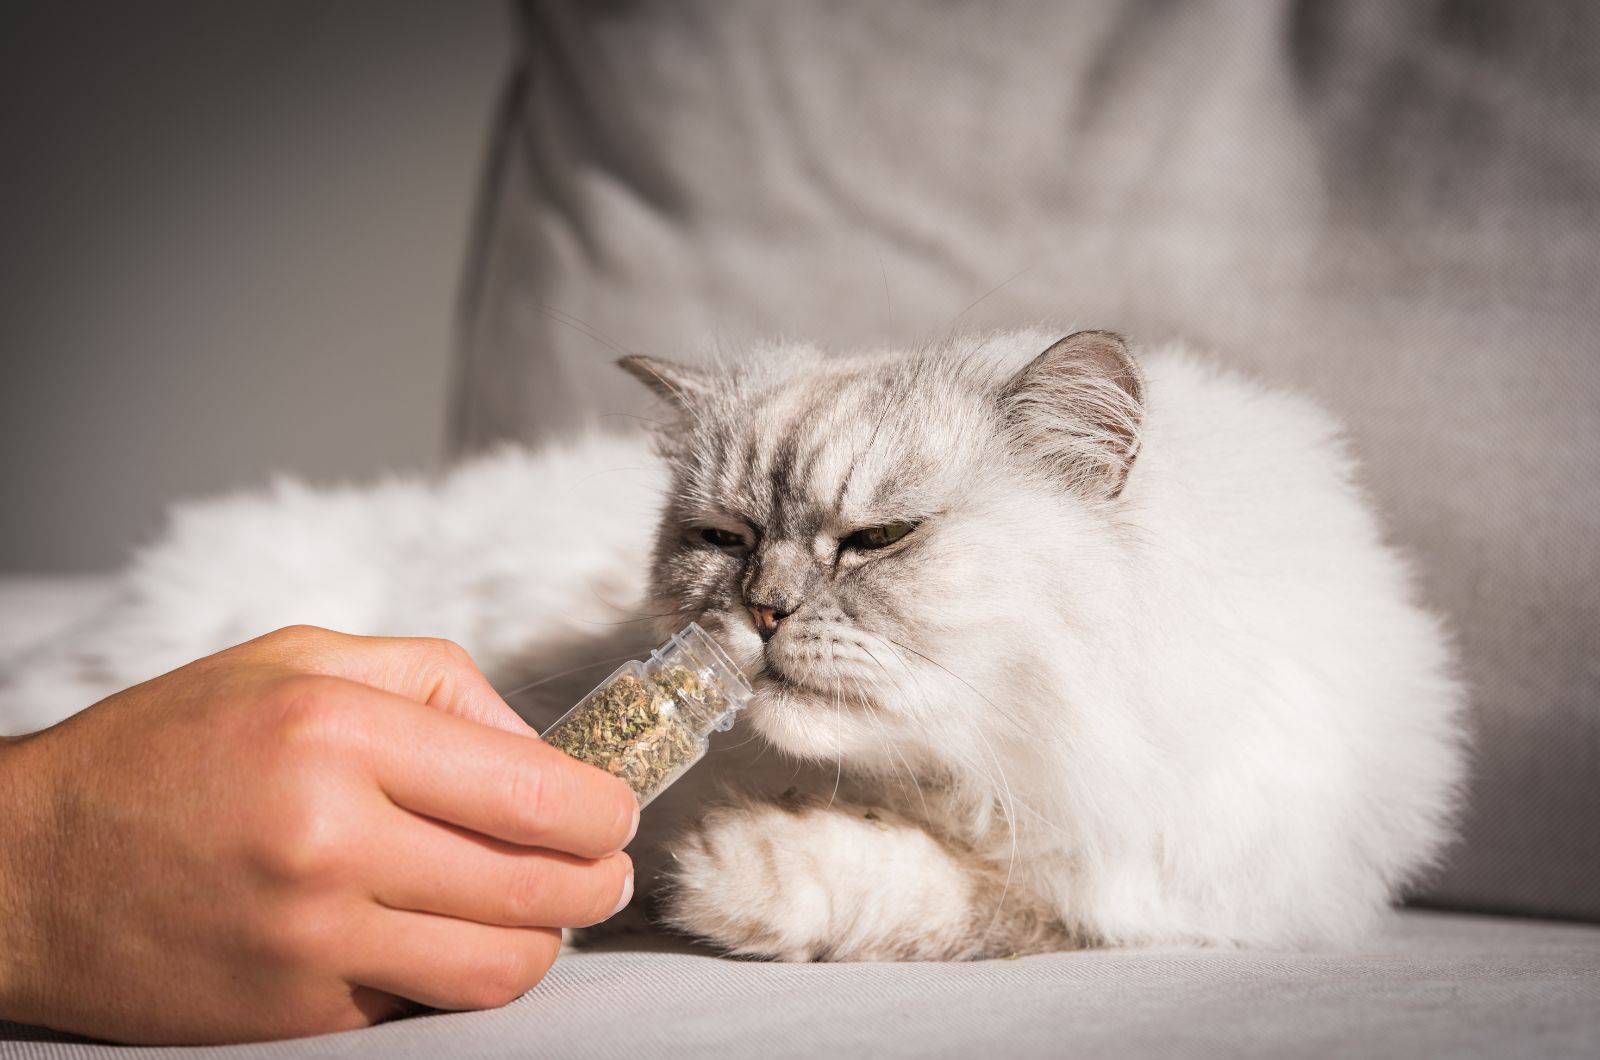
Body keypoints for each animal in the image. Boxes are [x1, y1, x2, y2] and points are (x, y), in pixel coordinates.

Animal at [0, 329, 1465, 960]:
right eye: (720, 536)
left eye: (875, 541)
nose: (757, 612)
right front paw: (697, 882)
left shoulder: (1145, 881)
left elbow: (948, 901)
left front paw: (729, 884)